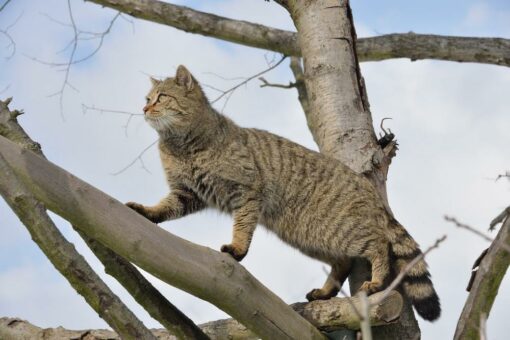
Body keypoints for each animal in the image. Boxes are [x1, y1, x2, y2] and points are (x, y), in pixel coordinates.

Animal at [125, 64, 440, 322]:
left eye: (161, 97)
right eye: (147, 98)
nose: (144, 109)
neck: (179, 145)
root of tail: (368, 187)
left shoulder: (246, 191)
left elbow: (242, 225)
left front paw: (237, 248)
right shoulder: (187, 193)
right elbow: (165, 207)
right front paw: (147, 211)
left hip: (343, 230)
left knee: (378, 245)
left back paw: (376, 281)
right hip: (310, 236)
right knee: (343, 262)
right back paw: (325, 292)